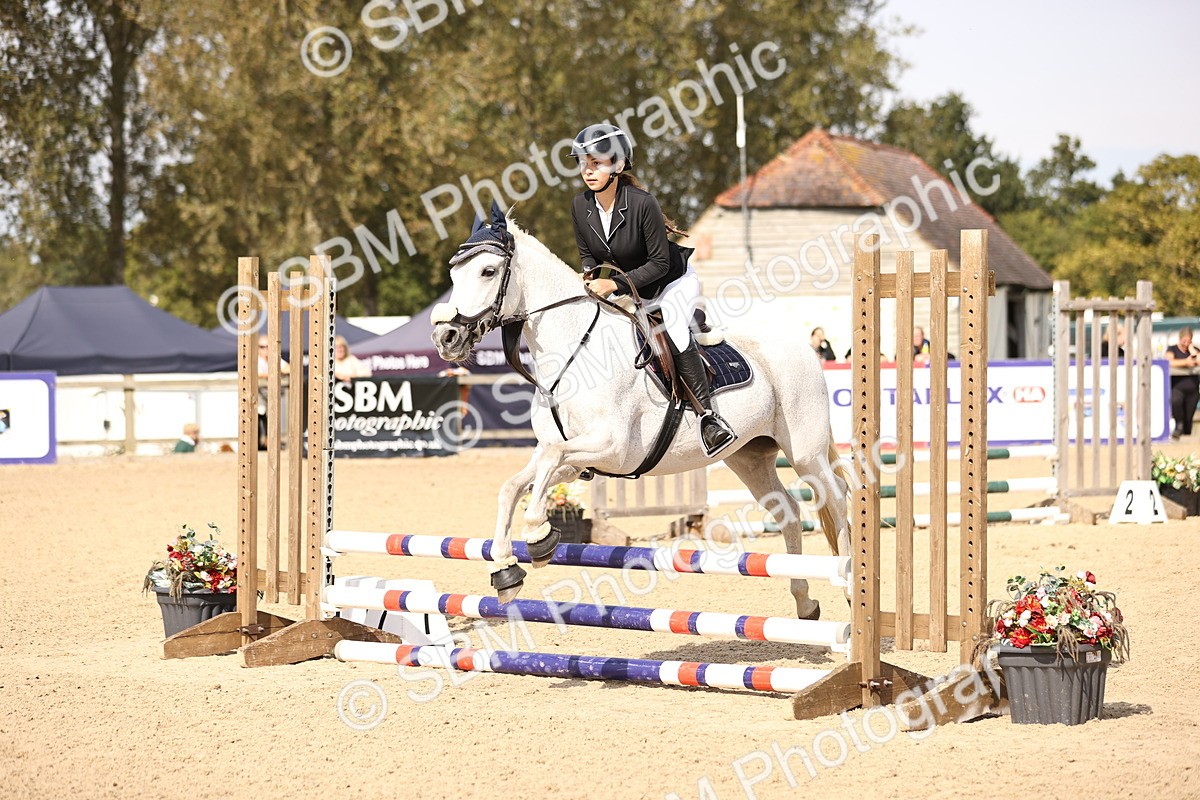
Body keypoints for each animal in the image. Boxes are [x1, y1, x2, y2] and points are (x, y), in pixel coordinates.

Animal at [431, 214, 850, 620]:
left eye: (487, 271)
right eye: (454, 275)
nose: (446, 337)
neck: (573, 352)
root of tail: (801, 346)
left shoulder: (611, 448)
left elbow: (545, 470)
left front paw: (539, 538)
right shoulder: (570, 457)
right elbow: (513, 487)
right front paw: (505, 570)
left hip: (805, 452)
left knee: (838, 499)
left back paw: (847, 585)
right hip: (749, 458)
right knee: (789, 511)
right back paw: (804, 602)